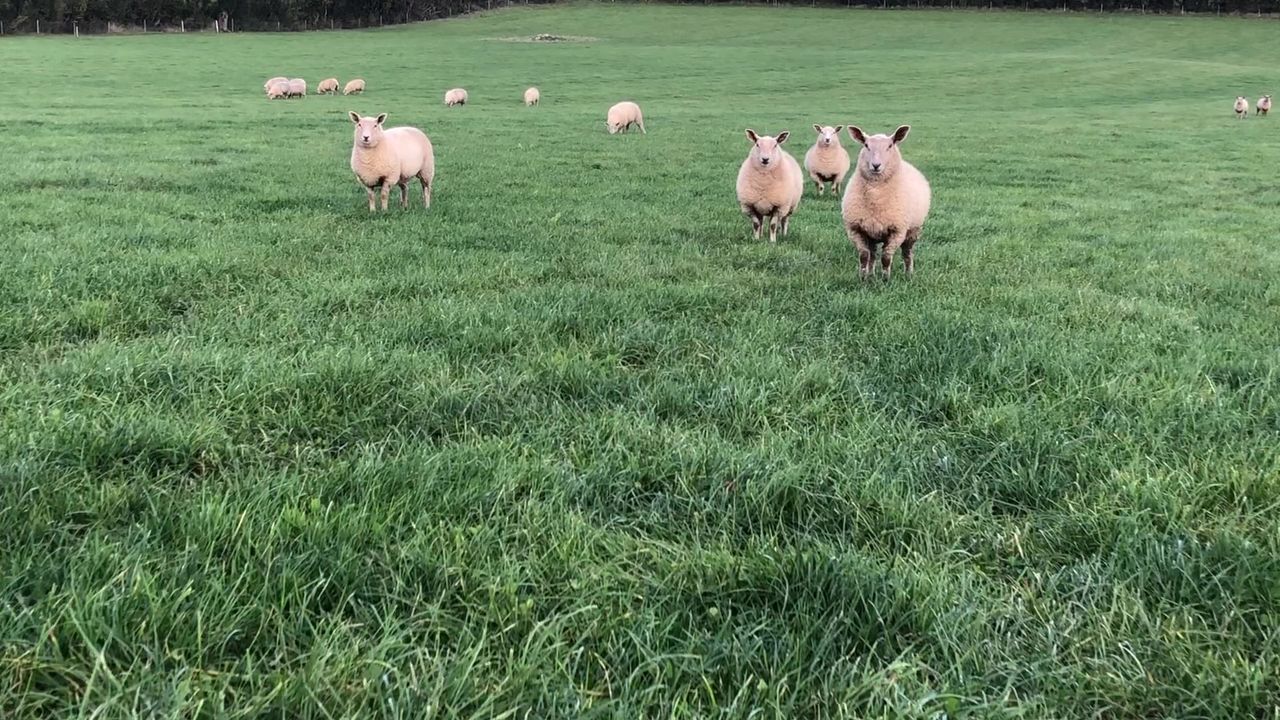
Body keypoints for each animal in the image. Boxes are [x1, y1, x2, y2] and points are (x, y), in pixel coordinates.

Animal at [841, 125, 932, 280]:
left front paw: (885, 279)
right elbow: (864, 256)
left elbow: (886, 258)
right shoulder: (855, 229)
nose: (876, 165)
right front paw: (863, 278)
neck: (875, 194)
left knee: (907, 253)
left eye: (890, 146)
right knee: (872, 255)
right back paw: (871, 275)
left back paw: (908, 274)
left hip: (913, 230)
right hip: (871, 233)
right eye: (866, 145)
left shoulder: (897, 231)